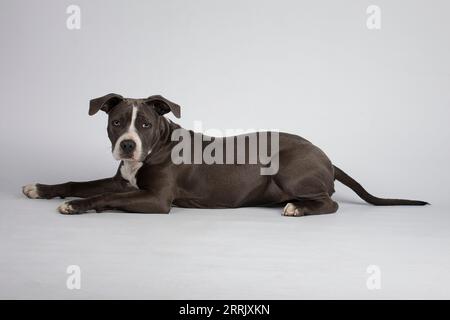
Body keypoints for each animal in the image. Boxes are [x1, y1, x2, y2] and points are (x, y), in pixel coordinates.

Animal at [22, 94, 428, 216]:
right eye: (117, 122)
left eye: (147, 125)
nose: (127, 145)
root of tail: (326, 157)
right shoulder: (123, 180)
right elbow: (81, 182)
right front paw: (41, 189)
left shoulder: (156, 199)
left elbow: (103, 196)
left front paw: (77, 206)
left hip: (289, 168)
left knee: (330, 202)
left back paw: (298, 208)